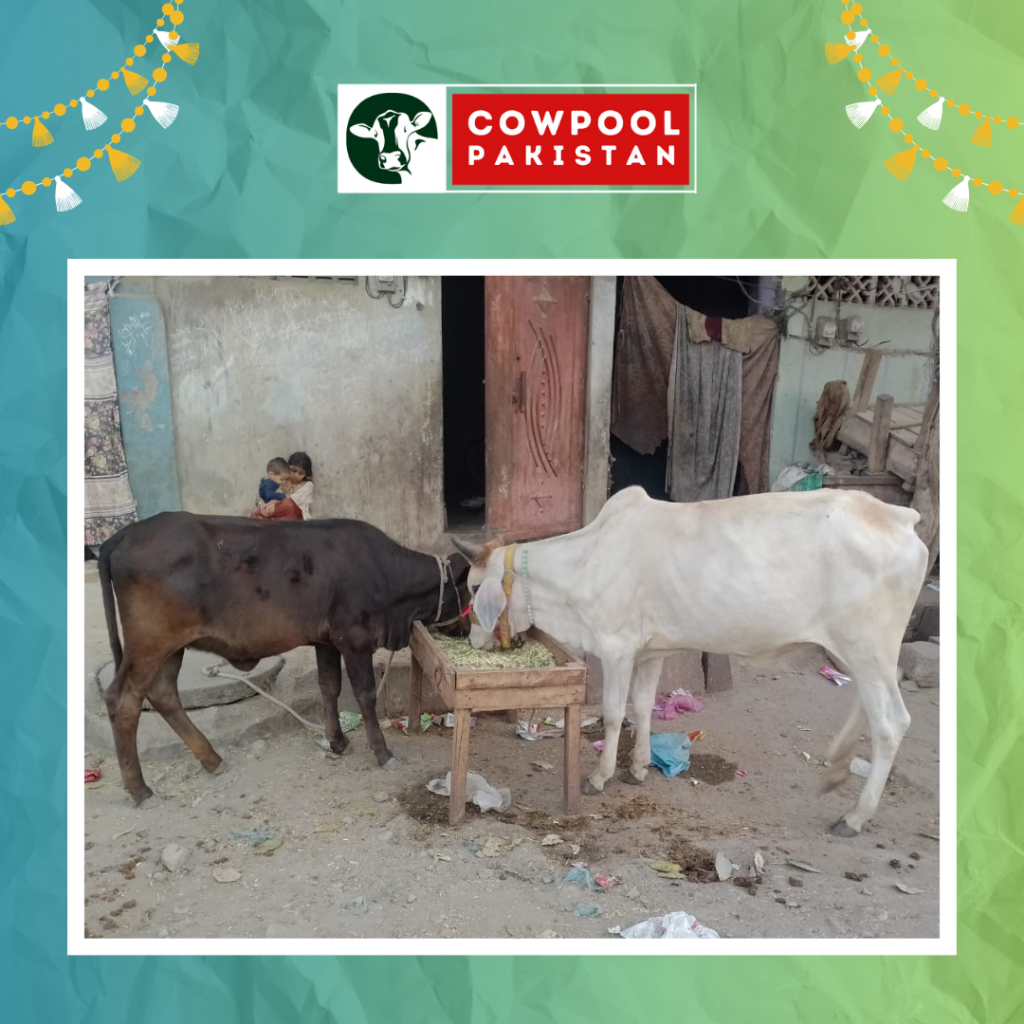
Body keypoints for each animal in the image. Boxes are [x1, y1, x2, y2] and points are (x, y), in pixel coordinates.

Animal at [98, 513, 470, 806]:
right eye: (470, 592)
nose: (468, 629)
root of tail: (125, 534)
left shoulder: (325, 641)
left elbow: (329, 687)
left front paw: (337, 742)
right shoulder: (354, 640)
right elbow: (365, 696)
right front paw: (382, 753)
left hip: (172, 647)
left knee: (163, 695)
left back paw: (212, 759)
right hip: (148, 643)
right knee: (124, 700)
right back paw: (140, 789)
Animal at [453, 486, 929, 837]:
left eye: (475, 587)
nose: (474, 639)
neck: (585, 564)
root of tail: (898, 517)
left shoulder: (617, 647)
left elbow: (613, 713)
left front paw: (599, 777)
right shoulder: (650, 650)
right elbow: (642, 707)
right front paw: (638, 768)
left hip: (869, 651)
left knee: (892, 724)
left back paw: (855, 816)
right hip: (862, 655)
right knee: (870, 706)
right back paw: (836, 770)